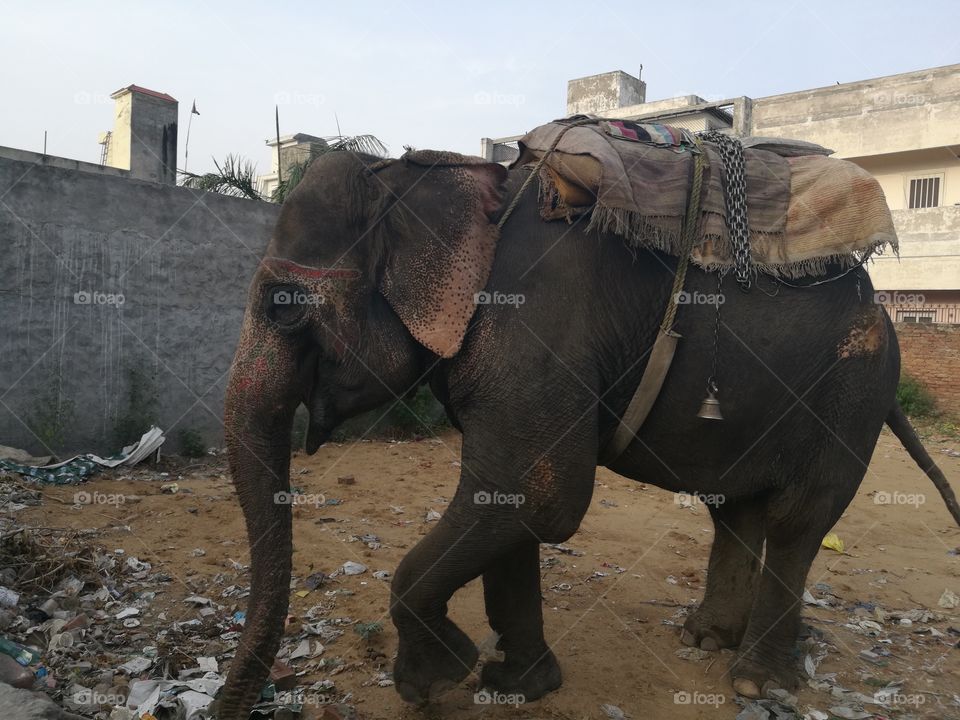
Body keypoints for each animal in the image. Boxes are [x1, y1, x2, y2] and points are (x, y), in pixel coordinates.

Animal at [214, 148, 960, 718]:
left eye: (281, 309)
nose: (228, 706)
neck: (421, 177)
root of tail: (884, 312)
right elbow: (507, 500)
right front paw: (516, 686)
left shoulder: (535, 325)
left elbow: (539, 495)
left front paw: (436, 681)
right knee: (736, 509)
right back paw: (705, 640)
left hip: (850, 392)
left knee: (798, 517)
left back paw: (756, 682)